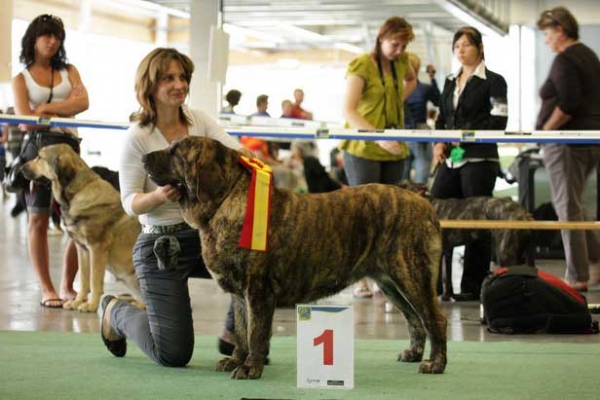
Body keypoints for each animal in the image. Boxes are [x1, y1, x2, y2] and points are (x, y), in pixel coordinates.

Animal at [143, 138, 448, 382]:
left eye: (175, 151)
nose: (144, 158)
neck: (225, 202)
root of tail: (423, 203)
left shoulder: (258, 290)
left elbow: (255, 332)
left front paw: (250, 368)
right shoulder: (240, 295)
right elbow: (241, 330)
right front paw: (236, 359)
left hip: (411, 274)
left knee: (435, 319)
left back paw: (435, 364)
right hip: (390, 282)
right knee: (414, 318)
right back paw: (413, 353)